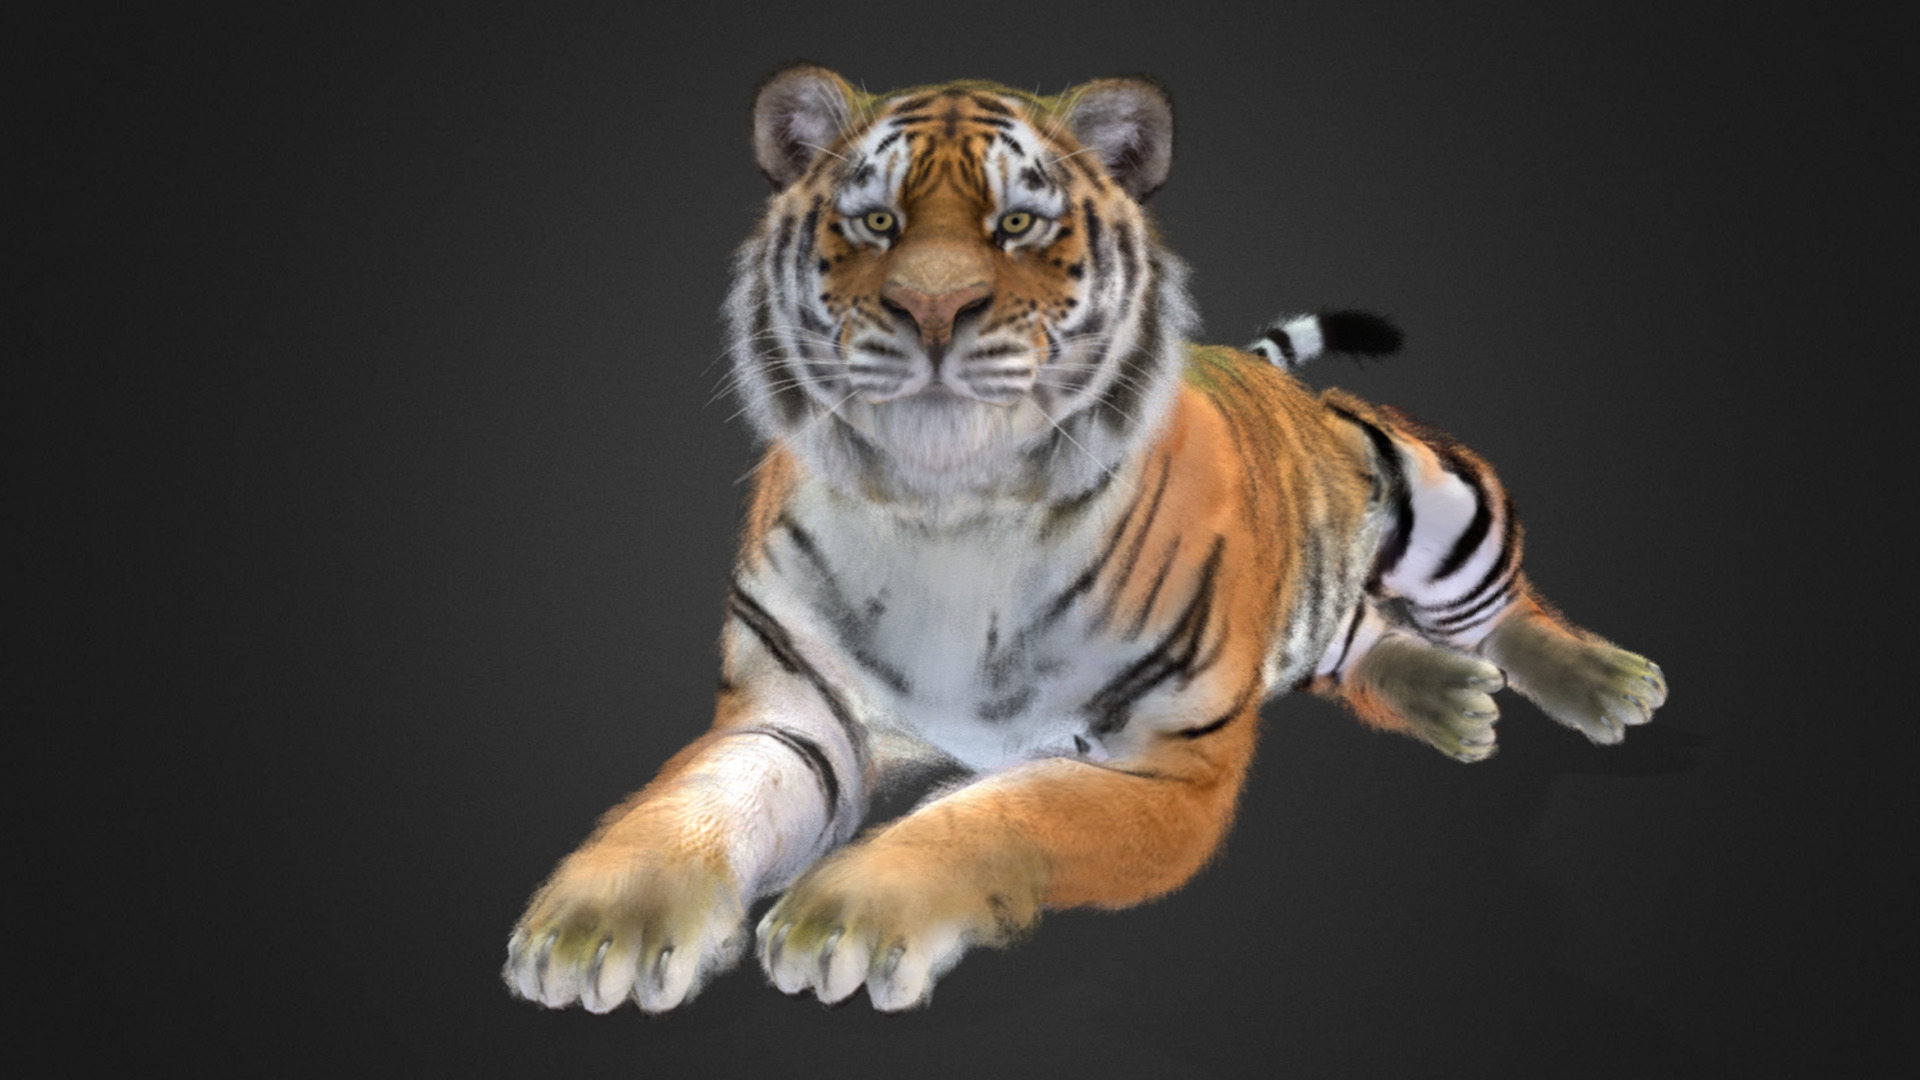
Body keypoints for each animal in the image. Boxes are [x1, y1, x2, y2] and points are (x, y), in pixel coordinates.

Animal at [504, 64, 1667, 1015]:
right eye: (874, 220)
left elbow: (996, 814)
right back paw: (1450, 700)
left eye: (1019, 224)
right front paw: (593, 927)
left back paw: (1604, 684)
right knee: (1360, 642)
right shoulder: (793, 708)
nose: (933, 308)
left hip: (1437, 494)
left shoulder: (1162, 765)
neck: (947, 513)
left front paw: (852, 917)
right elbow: (687, 804)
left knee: (1503, 607)